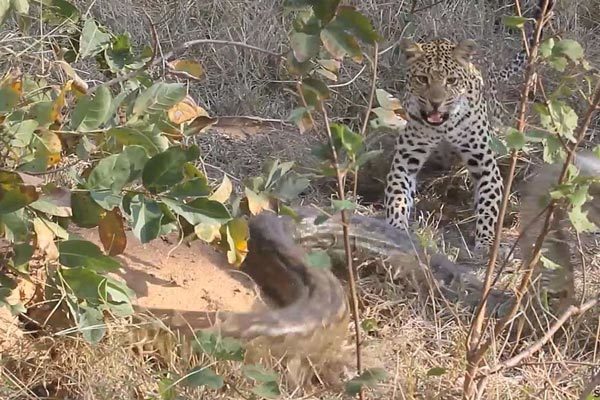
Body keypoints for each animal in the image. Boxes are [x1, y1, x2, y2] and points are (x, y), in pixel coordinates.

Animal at [384, 0, 555, 255]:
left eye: (451, 81)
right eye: (423, 79)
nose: (436, 103)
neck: (443, 127)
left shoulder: (485, 164)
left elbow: (489, 205)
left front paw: (486, 243)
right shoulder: (405, 161)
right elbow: (396, 196)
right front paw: (395, 228)